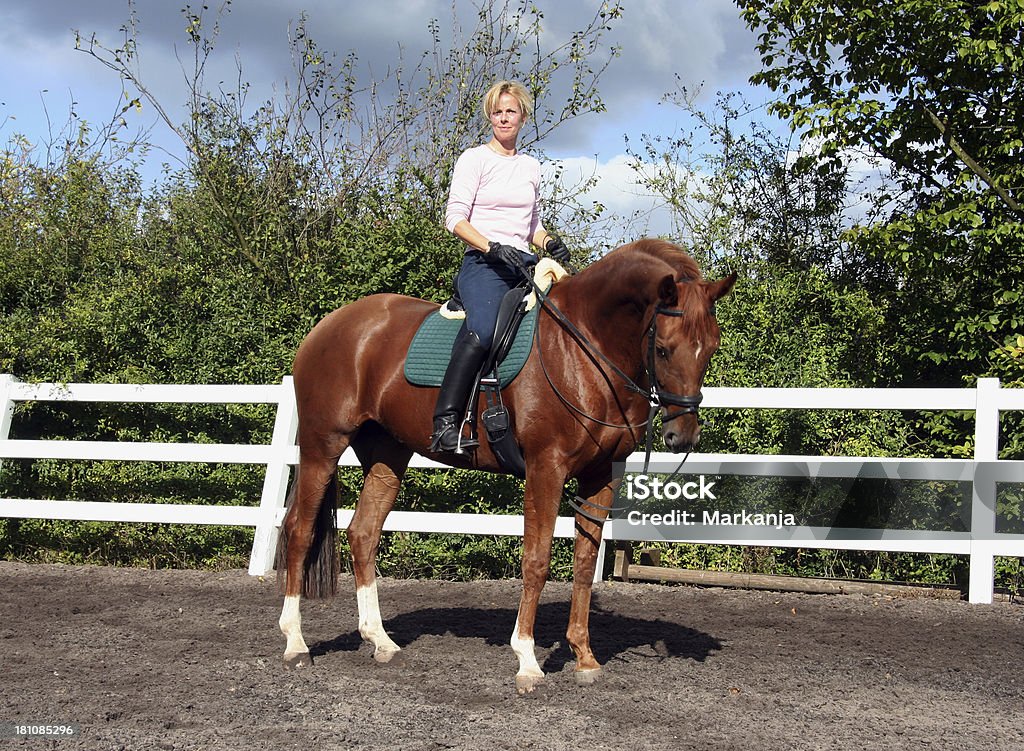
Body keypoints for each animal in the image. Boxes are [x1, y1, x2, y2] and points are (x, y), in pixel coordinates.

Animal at [276, 238, 733, 692]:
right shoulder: (546, 469)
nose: (683, 436)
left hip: (387, 455)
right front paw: (527, 660)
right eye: (663, 349)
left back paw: (380, 640)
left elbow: (585, 561)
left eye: (710, 349)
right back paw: (296, 643)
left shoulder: (602, 474)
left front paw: (584, 656)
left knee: (363, 534)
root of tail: (327, 326)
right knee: (299, 530)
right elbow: (537, 560)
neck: (584, 349)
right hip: (323, 446)